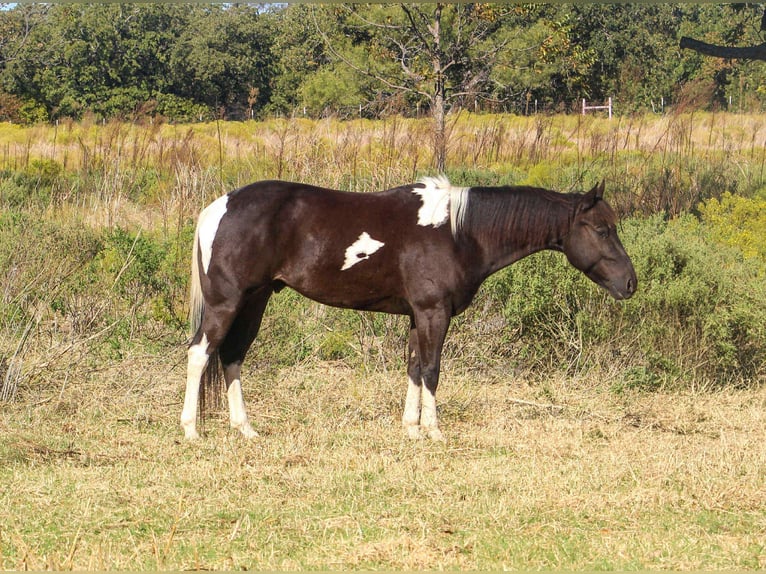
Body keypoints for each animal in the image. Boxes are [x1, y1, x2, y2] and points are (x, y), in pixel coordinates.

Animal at [181, 176, 636, 441]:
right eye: (601, 229)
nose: (630, 283)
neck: (458, 232)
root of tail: (219, 207)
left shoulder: (418, 315)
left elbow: (415, 367)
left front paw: (411, 428)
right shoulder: (434, 312)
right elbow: (432, 369)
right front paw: (433, 431)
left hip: (255, 300)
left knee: (232, 355)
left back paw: (245, 428)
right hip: (228, 301)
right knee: (201, 353)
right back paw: (191, 430)